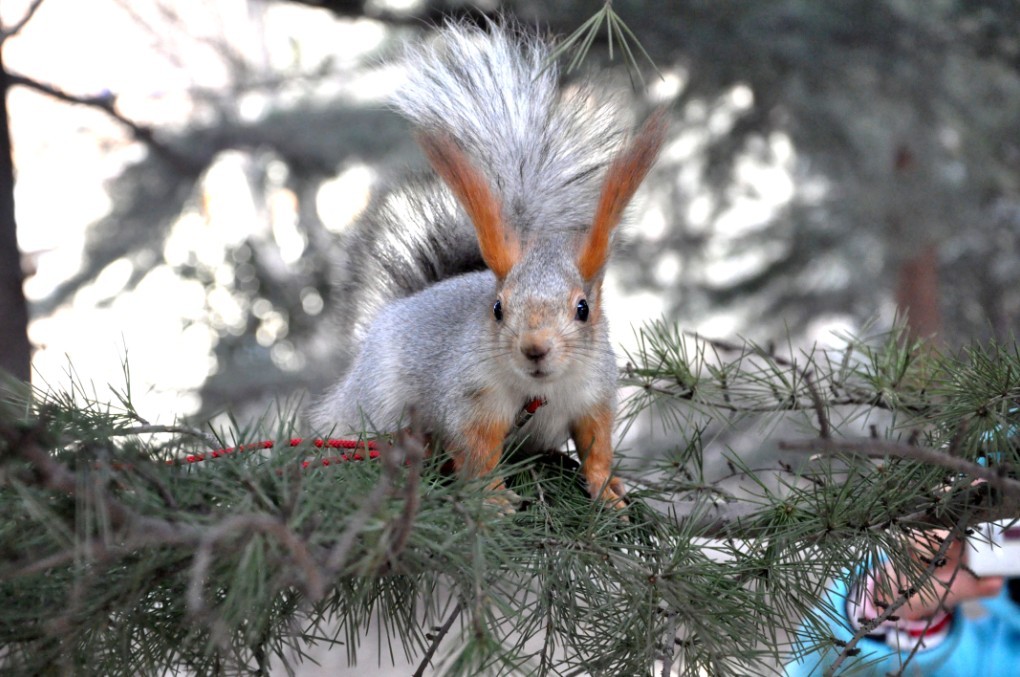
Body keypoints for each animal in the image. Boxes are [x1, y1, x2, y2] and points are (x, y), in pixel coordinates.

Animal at [312, 21, 669, 507]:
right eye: (498, 309)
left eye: (583, 309)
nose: (534, 348)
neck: (538, 389)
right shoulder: (470, 397)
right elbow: (476, 450)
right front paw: (493, 500)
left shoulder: (594, 394)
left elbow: (598, 444)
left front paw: (606, 488)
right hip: (375, 400)